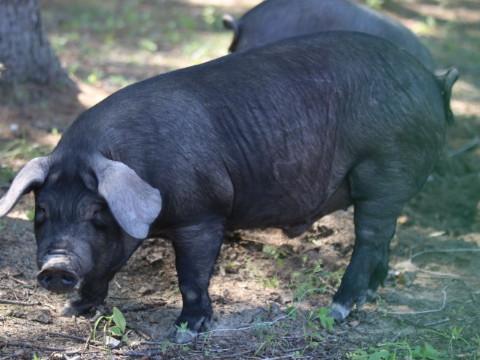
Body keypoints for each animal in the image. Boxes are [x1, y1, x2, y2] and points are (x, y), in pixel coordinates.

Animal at [0, 32, 458, 342]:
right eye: (42, 213)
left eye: (97, 213)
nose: (55, 267)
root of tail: (433, 80)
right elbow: (105, 267)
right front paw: (71, 311)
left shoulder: (203, 214)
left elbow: (191, 274)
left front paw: (186, 331)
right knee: (385, 240)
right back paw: (371, 294)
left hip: (383, 169)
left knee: (370, 238)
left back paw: (338, 308)